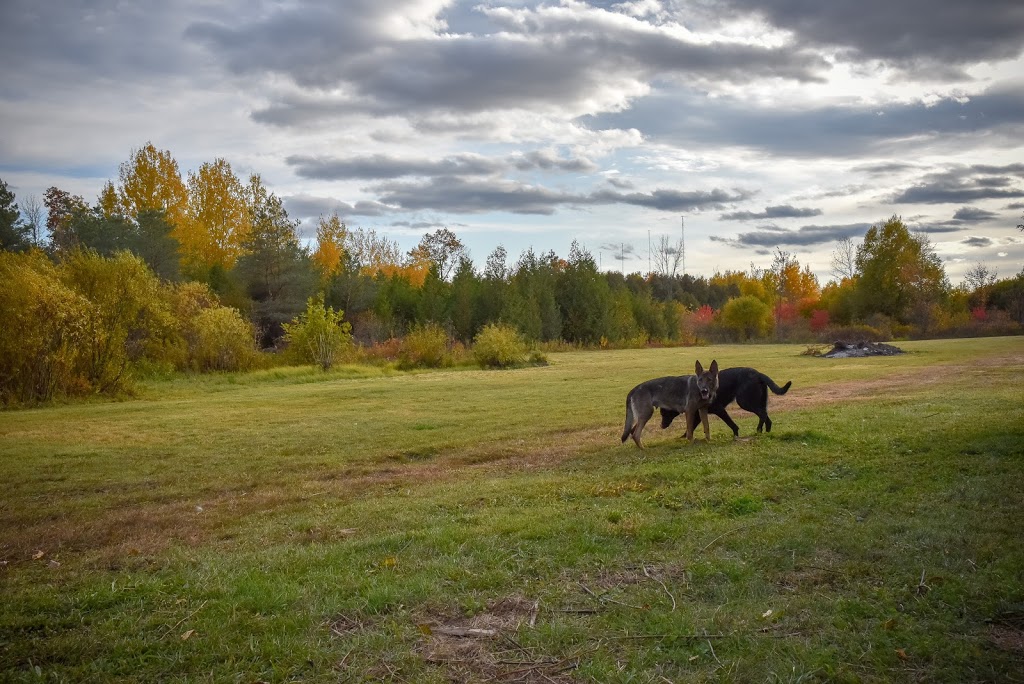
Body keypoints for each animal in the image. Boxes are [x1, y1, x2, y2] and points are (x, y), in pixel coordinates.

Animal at [655, 368, 790, 438]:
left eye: (663, 413)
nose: (661, 426)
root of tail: (758, 374)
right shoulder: (699, 414)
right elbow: (691, 426)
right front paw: (684, 437)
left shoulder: (719, 409)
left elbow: (731, 424)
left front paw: (736, 434)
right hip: (760, 401)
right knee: (767, 418)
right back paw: (766, 432)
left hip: (745, 401)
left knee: (762, 414)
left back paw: (758, 430)